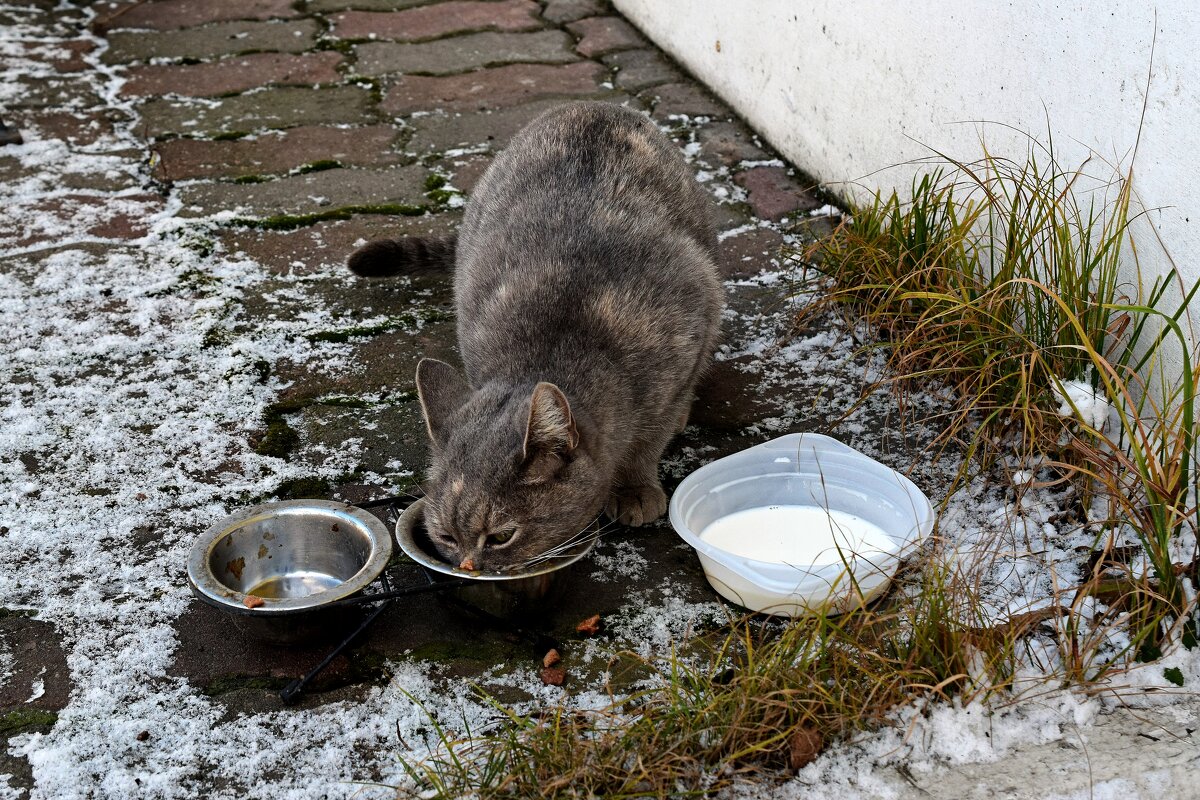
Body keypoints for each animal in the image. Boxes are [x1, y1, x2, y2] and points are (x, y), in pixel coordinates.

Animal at [348, 103, 720, 573]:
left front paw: (635, 486)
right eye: (446, 536)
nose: (470, 566)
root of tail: (592, 105)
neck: (556, 346)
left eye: (501, 536)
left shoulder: (692, 329)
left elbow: (649, 440)